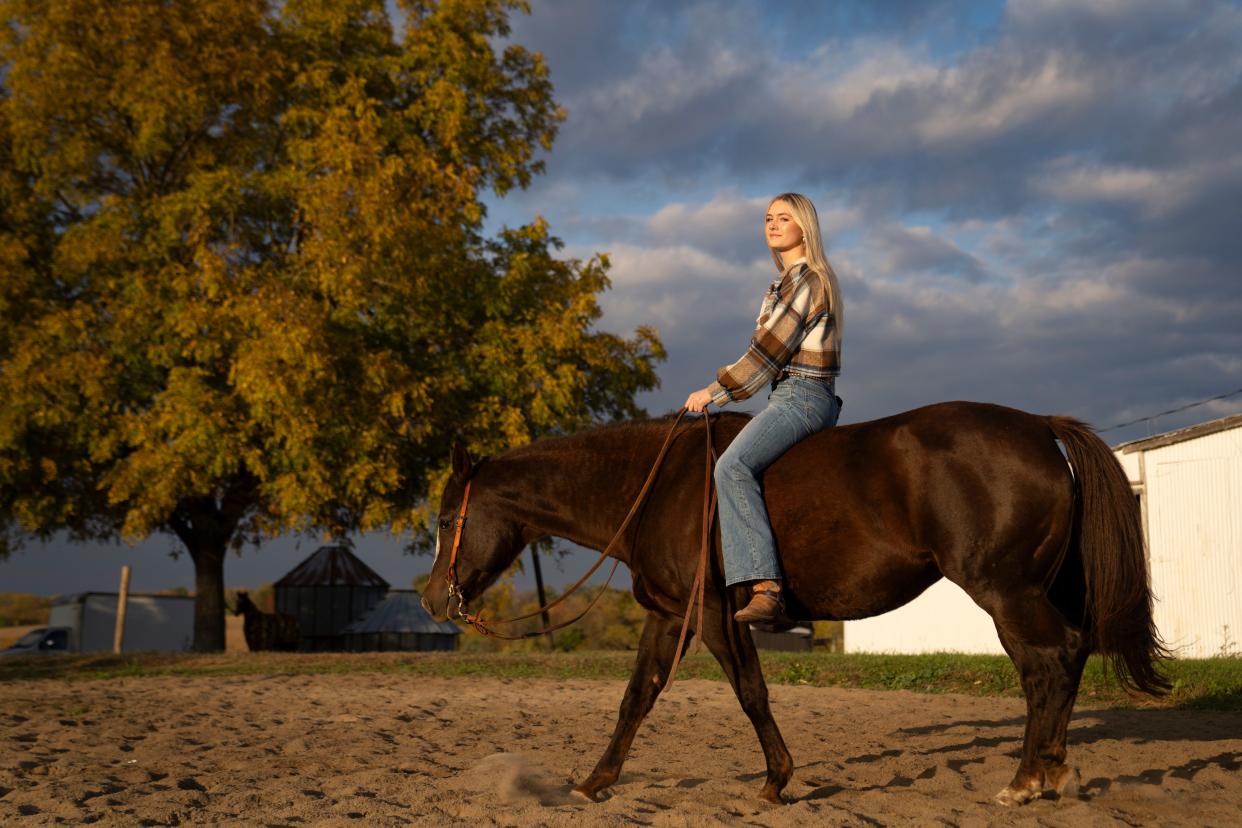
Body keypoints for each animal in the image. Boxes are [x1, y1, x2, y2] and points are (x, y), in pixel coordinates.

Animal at [422, 404, 1167, 804]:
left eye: (445, 518)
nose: (432, 599)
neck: (659, 485)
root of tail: (1040, 427)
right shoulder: (669, 614)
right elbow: (637, 697)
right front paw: (593, 782)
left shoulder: (716, 616)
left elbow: (752, 693)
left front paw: (776, 780)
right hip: (1030, 591)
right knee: (1062, 662)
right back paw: (1050, 774)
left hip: (1005, 591)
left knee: (1050, 663)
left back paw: (1027, 779)